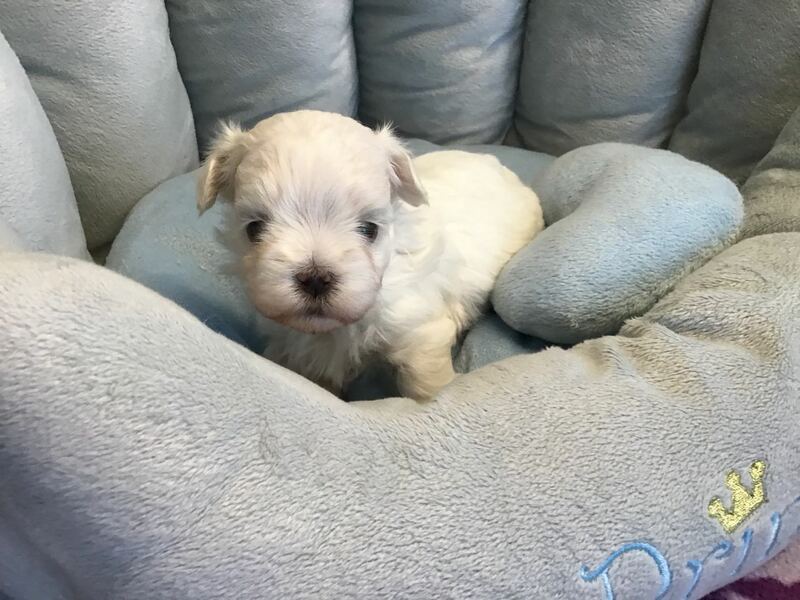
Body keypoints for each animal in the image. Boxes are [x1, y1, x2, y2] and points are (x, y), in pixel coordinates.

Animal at [197, 110, 544, 400]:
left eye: (369, 229)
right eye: (255, 229)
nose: (316, 278)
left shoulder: (419, 331)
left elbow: (424, 381)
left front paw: (435, 399)